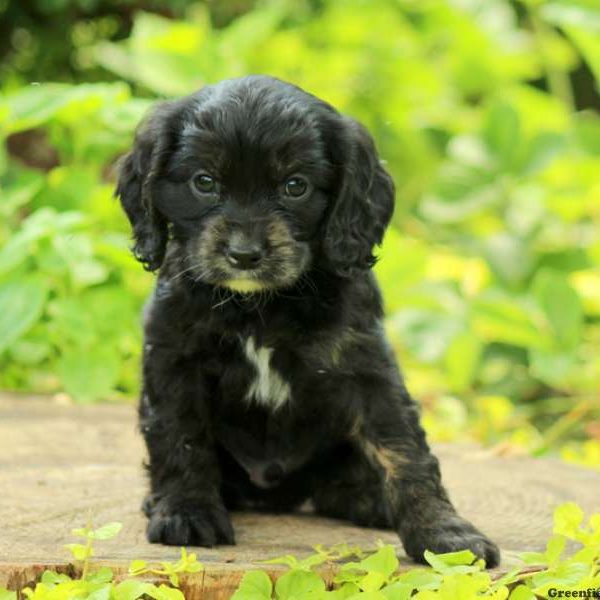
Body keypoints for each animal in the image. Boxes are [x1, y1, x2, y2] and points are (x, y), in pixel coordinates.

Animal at [115, 75, 500, 568]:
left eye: (295, 186)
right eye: (204, 182)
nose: (244, 254)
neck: (257, 308)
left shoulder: (366, 366)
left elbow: (404, 450)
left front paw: (445, 535)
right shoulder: (174, 357)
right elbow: (180, 435)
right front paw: (186, 512)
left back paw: (368, 498)